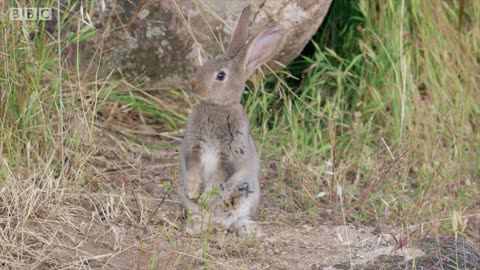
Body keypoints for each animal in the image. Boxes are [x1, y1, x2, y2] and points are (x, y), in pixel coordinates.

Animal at [177, 4, 284, 236]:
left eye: (220, 76)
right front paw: (193, 191)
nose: (193, 85)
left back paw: (245, 228)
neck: (218, 107)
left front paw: (206, 196)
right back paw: (195, 224)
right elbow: (193, 166)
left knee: (234, 219)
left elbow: (220, 177)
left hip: (247, 194)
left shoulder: (230, 154)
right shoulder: (193, 146)